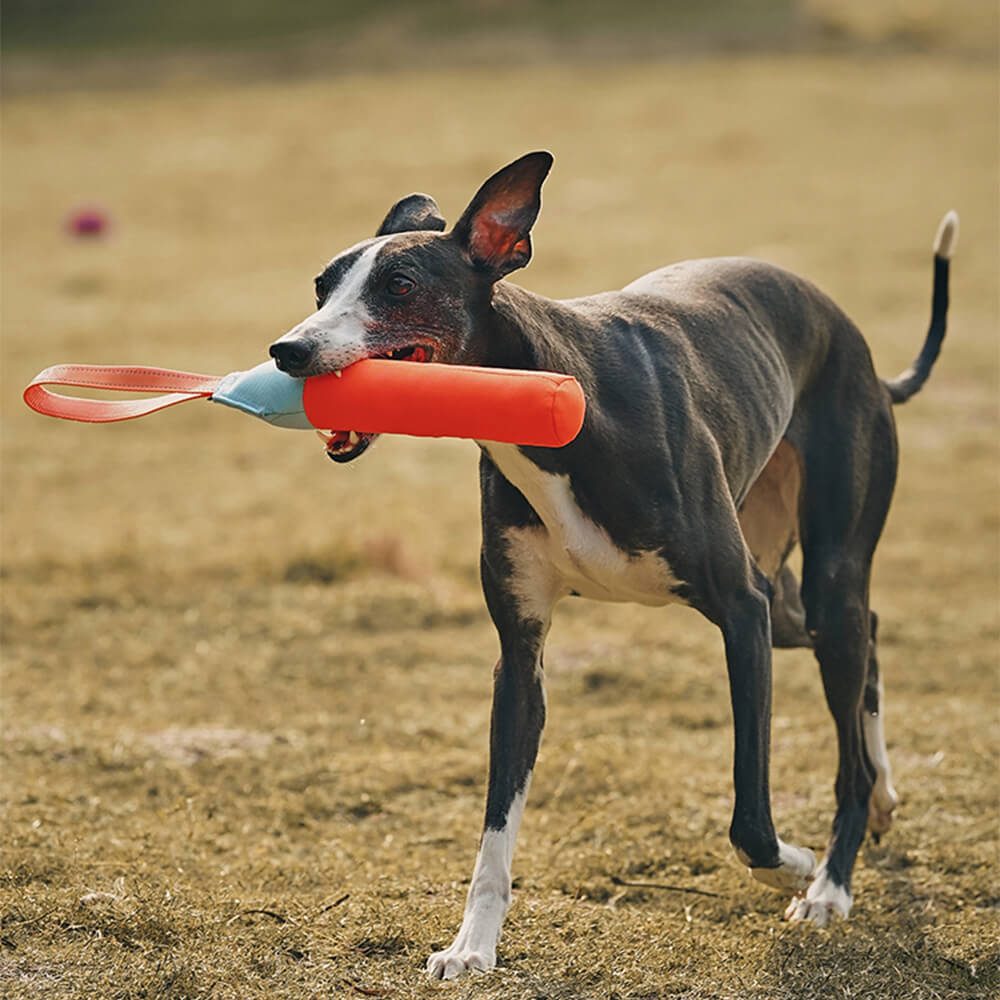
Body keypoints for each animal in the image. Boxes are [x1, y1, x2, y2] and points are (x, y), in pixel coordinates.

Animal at [270, 152, 956, 980]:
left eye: (398, 285)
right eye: (320, 287)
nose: (288, 352)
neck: (554, 402)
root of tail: (858, 345)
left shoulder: (740, 612)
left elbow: (750, 824)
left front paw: (798, 864)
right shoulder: (521, 654)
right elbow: (495, 830)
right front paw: (472, 947)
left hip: (822, 574)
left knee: (850, 712)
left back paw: (832, 882)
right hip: (791, 593)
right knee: (872, 635)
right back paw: (881, 799)